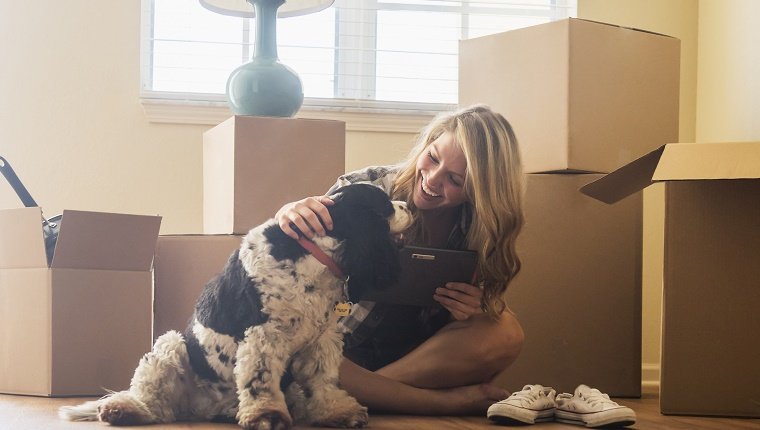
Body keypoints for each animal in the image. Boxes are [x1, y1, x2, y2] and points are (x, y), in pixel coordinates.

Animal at [60, 185, 410, 430]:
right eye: (386, 205)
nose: (407, 205)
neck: (311, 256)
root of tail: (201, 407)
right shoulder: (264, 333)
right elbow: (261, 379)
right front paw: (268, 414)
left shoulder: (322, 340)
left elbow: (323, 381)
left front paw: (338, 411)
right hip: (170, 345)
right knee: (155, 402)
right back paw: (124, 409)